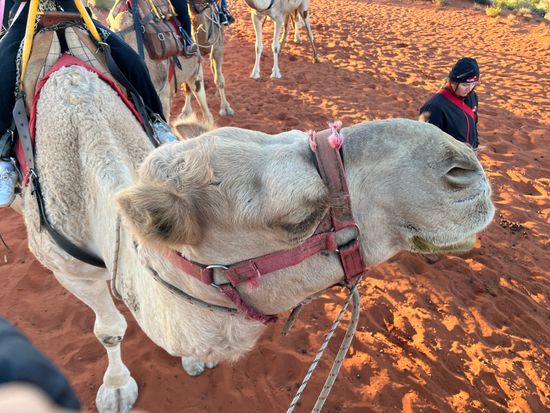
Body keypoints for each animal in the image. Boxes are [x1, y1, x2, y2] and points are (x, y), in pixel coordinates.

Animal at [21, 64, 494, 411]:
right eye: (299, 217)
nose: (462, 165)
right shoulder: (69, 270)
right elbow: (108, 330)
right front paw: (118, 388)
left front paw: (192, 359)